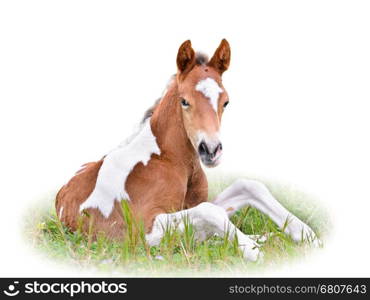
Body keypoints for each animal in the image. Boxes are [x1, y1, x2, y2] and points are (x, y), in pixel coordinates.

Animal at [55, 39, 318, 260]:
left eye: (226, 102)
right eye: (184, 101)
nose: (210, 150)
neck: (166, 159)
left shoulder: (192, 210)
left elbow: (247, 187)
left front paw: (309, 237)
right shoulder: (140, 231)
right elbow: (211, 211)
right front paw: (253, 252)